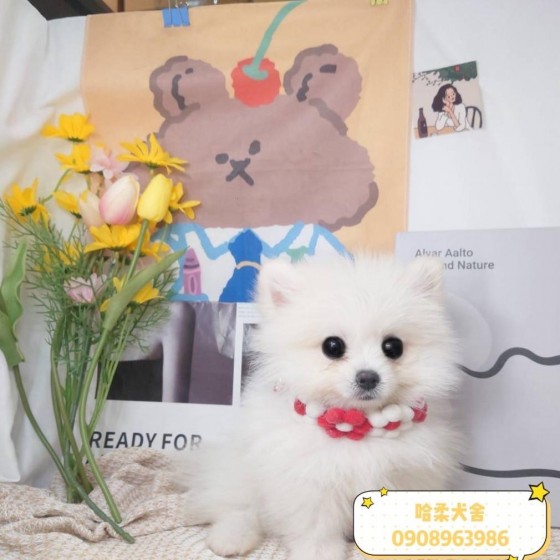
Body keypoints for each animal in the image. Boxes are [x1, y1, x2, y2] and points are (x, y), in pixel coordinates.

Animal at [180, 254, 462, 560]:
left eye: (393, 347)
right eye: (333, 346)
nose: (368, 377)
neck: (356, 427)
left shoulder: (407, 476)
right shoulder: (312, 483)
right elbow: (317, 526)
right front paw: (319, 552)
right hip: (240, 476)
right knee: (237, 508)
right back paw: (231, 538)